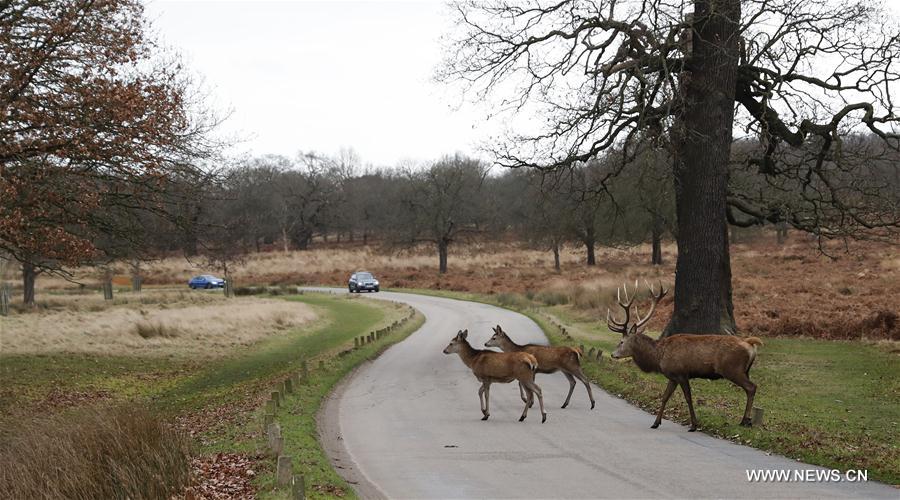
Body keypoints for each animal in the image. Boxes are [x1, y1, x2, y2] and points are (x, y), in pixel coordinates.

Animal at [607, 281, 762, 432]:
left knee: (751, 387)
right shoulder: (672, 376)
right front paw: (656, 423)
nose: (612, 354)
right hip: (745, 370)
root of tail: (750, 344)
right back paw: (747, 420)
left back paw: (744, 421)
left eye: (621, 342)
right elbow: (665, 397)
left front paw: (694, 425)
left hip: (732, 369)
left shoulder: (681, 373)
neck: (659, 357)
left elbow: (688, 398)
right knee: (750, 388)